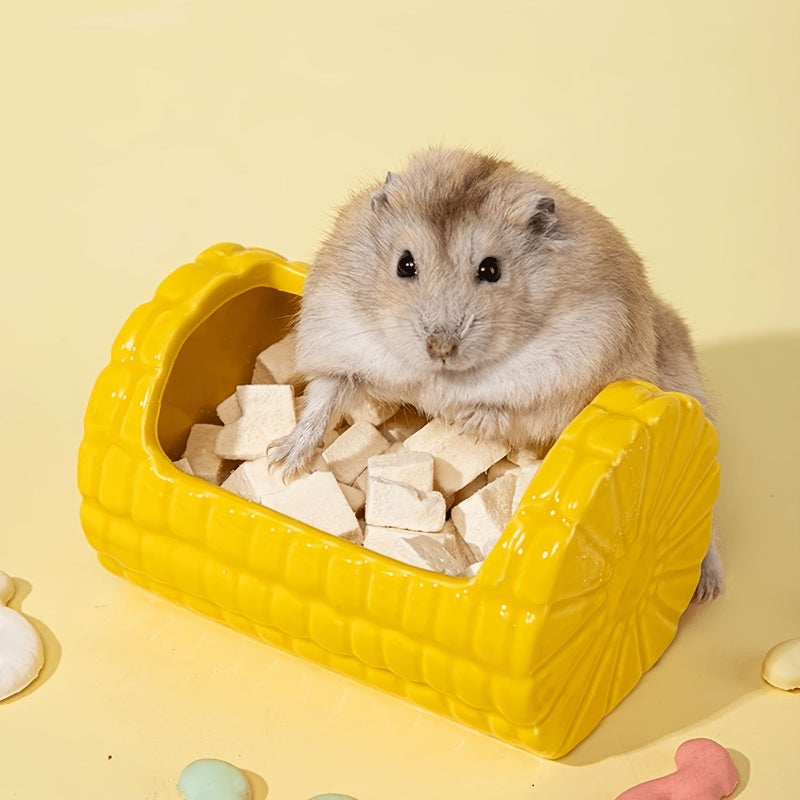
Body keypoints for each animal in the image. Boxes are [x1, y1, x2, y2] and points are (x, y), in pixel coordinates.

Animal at [269, 147, 724, 601]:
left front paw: (462, 420)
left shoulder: (569, 373)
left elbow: (512, 411)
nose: (441, 348)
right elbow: (324, 400)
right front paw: (282, 464)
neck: (441, 378)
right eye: (405, 264)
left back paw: (708, 587)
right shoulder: (340, 344)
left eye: (491, 270)